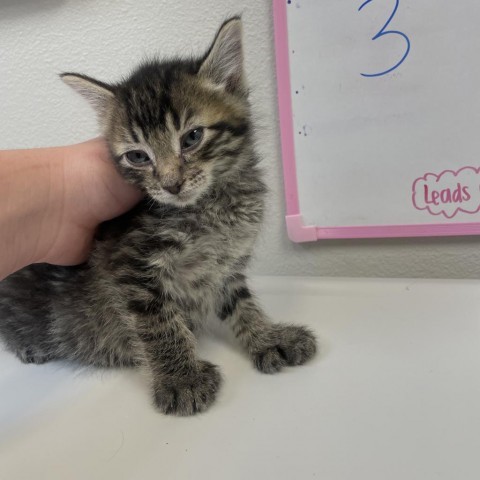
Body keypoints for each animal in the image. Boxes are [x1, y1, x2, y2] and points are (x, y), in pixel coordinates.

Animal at [0, 18, 318, 414]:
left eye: (192, 137)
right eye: (138, 156)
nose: (171, 184)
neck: (211, 208)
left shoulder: (226, 264)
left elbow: (241, 302)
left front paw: (268, 337)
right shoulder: (130, 265)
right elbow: (158, 323)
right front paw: (182, 379)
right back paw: (28, 345)